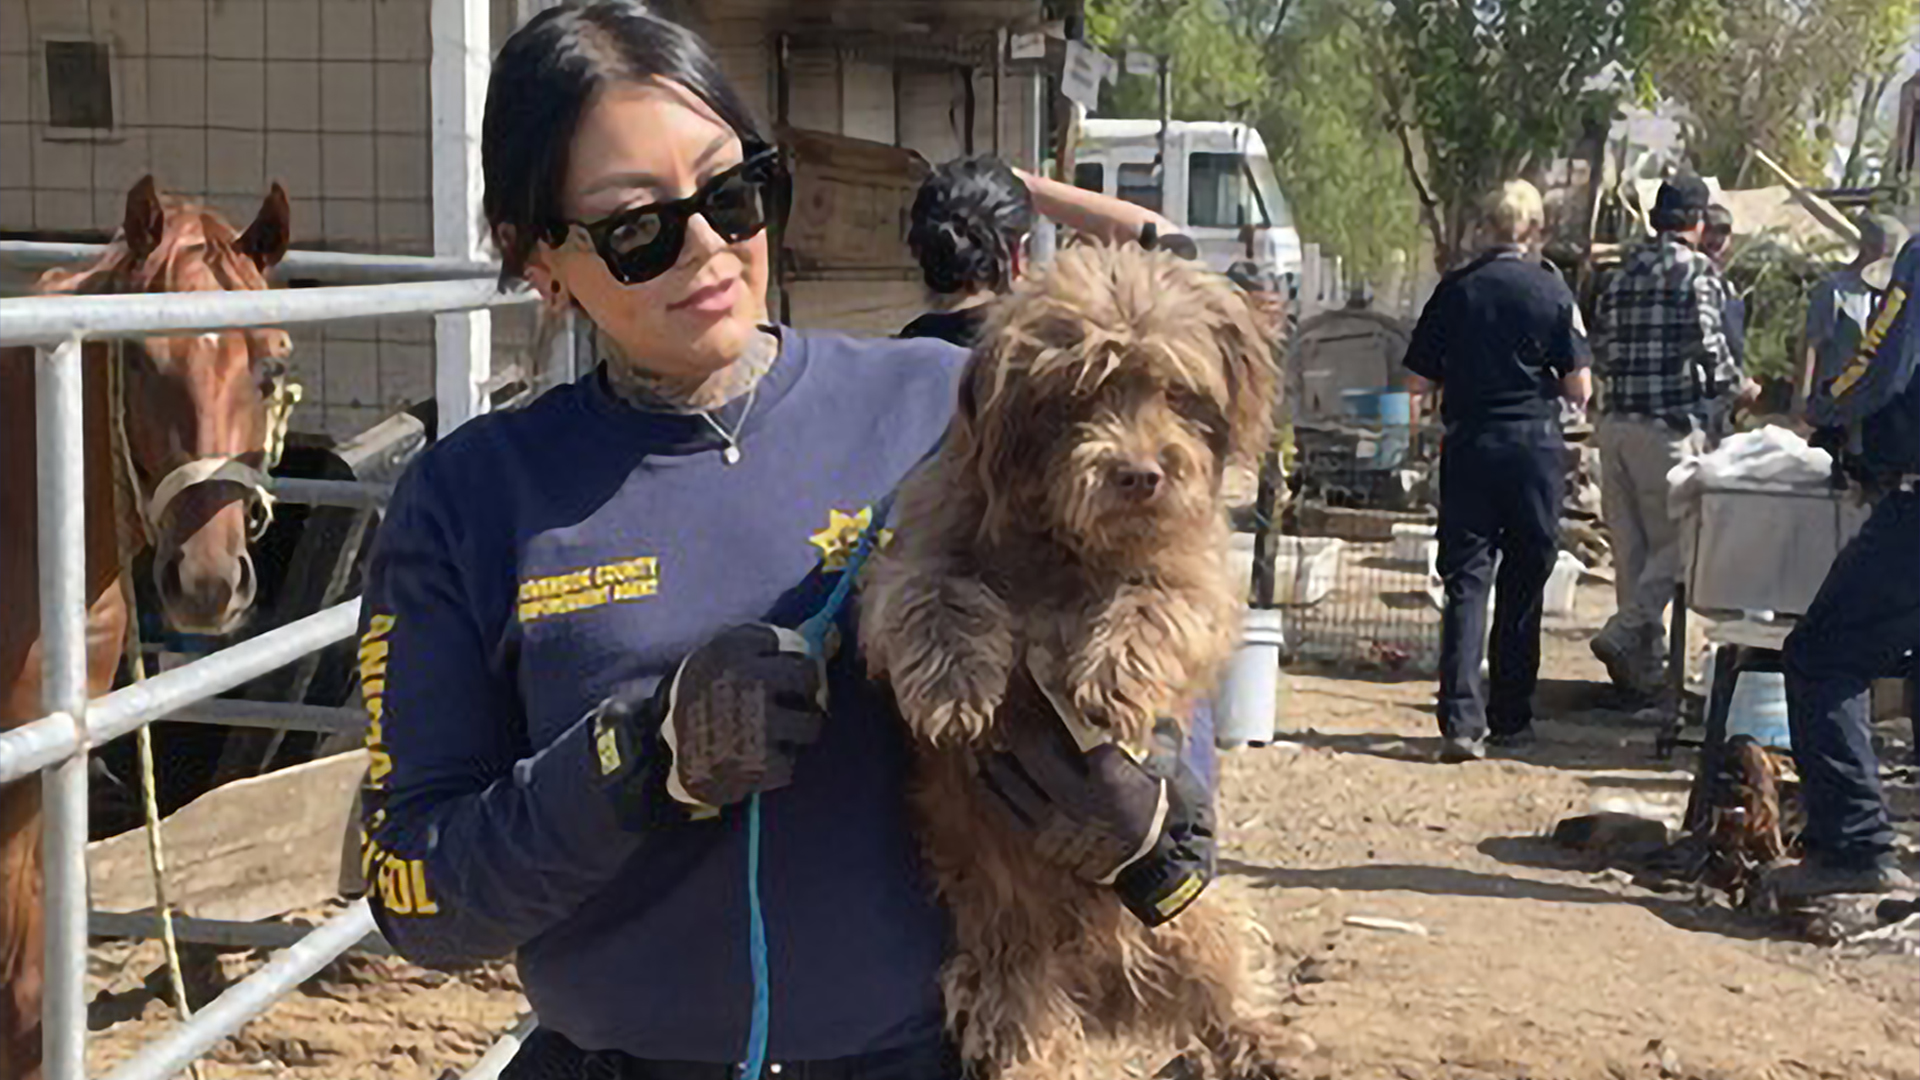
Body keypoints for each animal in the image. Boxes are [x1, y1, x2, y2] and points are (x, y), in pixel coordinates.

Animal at [867, 245, 1290, 1076]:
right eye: (1078, 392)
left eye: (1176, 390)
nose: (1141, 474)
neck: (1066, 544)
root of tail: (1104, 967)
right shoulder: (917, 554)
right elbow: (935, 595)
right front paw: (956, 689)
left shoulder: (1193, 571)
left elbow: (1157, 602)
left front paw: (1113, 677)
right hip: (1002, 977)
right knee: (1031, 1036)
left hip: (1195, 915)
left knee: (1228, 979)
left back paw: (1264, 1043)